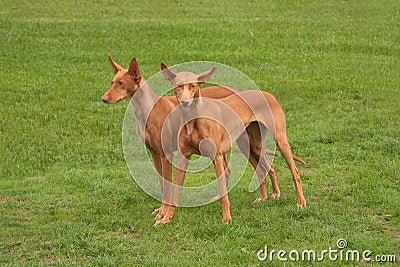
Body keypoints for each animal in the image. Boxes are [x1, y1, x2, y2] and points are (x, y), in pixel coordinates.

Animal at [156, 65, 306, 226]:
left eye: (193, 86)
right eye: (178, 86)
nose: (185, 102)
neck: (193, 119)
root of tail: (268, 94)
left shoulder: (217, 158)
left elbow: (223, 194)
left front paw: (227, 219)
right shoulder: (183, 158)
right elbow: (175, 194)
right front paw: (166, 218)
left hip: (280, 140)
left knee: (295, 172)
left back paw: (301, 202)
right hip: (251, 146)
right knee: (264, 169)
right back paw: (266, 196)